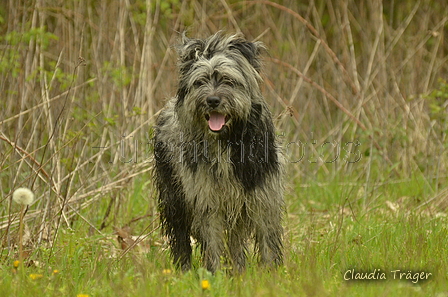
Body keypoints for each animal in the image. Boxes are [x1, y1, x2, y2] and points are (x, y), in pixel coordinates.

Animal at [154, 33, 284, 272]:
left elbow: (267, 243)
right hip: (174, 197)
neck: (225, 140)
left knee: (235, 242)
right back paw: (184, 270)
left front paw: (272, 274)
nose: (212, 100)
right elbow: (212, 245)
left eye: (228, 80)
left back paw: (239, 270)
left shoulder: (263, 197)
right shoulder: (207, 202)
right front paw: (214, 274)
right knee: (180, 237)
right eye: (200, 82)